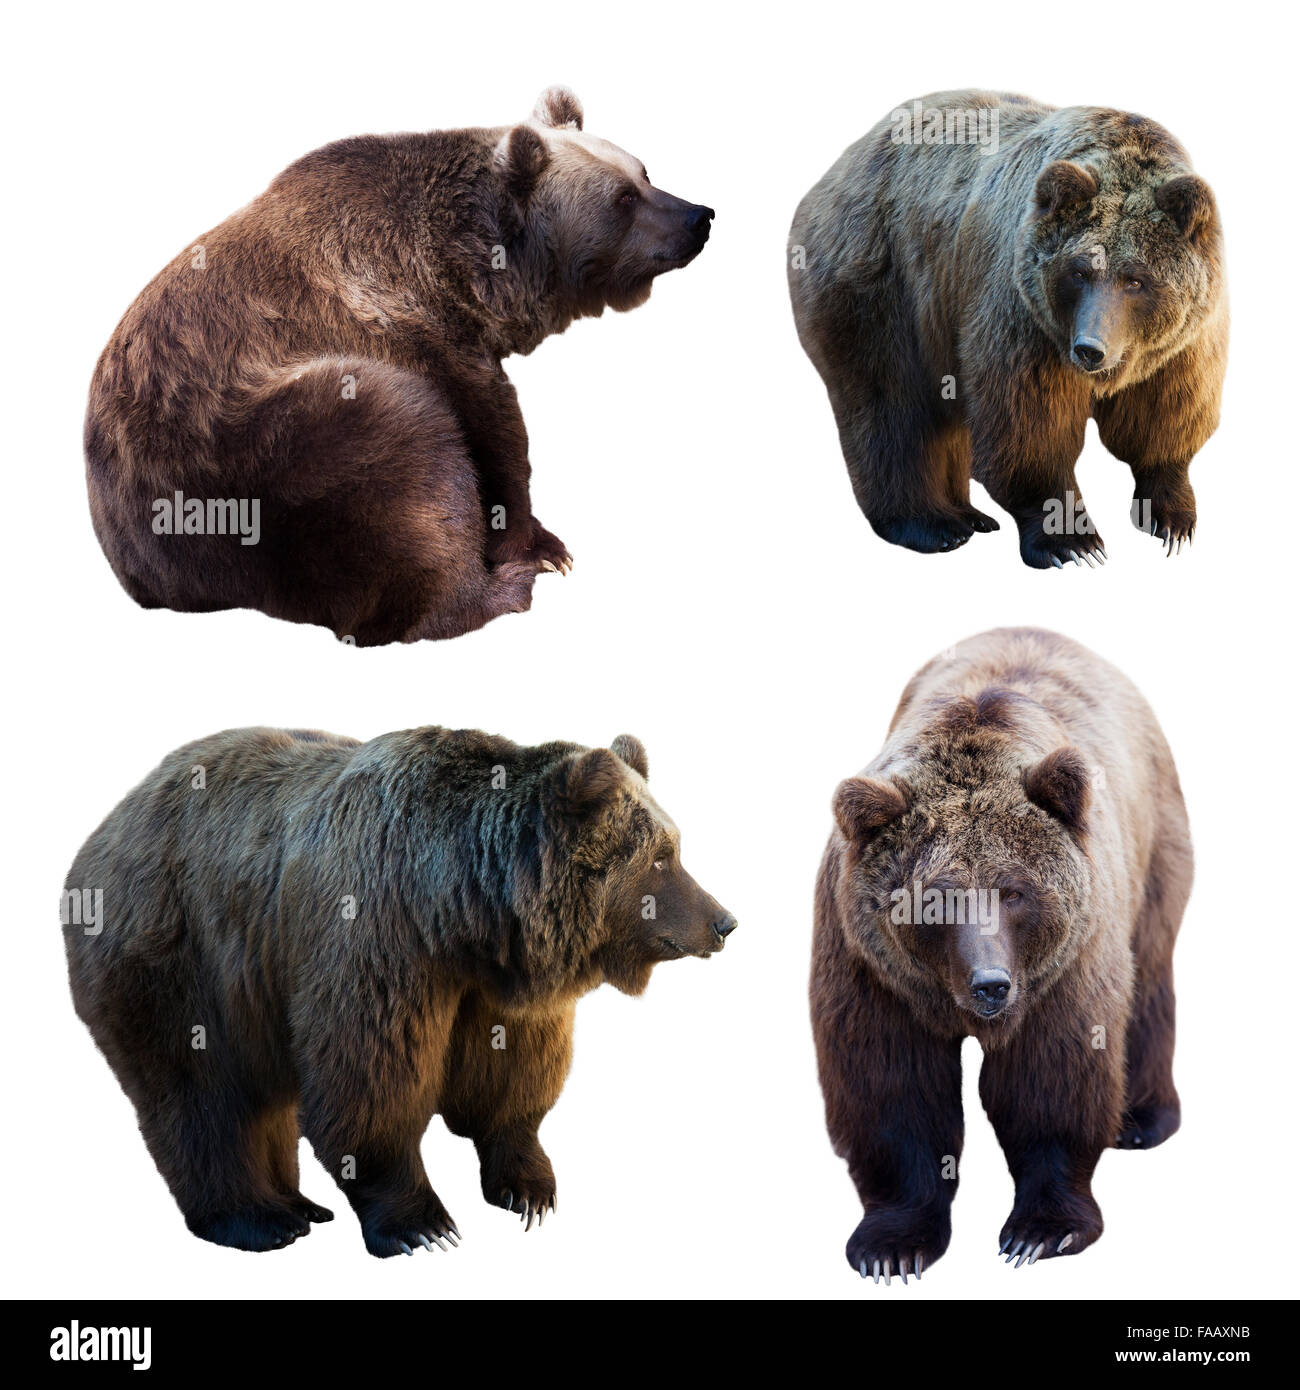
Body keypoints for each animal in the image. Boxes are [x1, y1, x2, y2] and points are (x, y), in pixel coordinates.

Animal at [62, 725, 736, 1256]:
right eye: (661, 858)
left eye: (676, 847)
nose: (724, 921)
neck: (462, 911)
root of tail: (101, 832)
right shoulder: (378, 938)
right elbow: (371, 1080)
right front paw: (422, 1224)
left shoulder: (494, 988)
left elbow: (509, 1075)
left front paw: (528, 1189)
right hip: (176, 954)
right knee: (199, 1094)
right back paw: (261, 1219)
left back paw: (300, 1205)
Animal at [84, 88, 714, 644]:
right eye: (622, 198)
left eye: (645, 170)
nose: (699, 216)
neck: (473, 268)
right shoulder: (416, 327)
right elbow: (492, 430)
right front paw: (539, 545)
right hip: (255, 446)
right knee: (405, 457)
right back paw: (502, 590)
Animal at [788, 90, 1227, 568]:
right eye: (1079, 271)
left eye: (1136, 279)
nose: (1090, 349)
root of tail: (836, 169)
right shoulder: (1026, 318)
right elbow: (1028, 427)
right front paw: (1072, 541)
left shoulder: (1179, 344)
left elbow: (1164, 416)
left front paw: (1171, 520)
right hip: (882, 283)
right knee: (891, 403)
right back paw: (934, 526)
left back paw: (970, 515)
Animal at [811, 627, 1191, 1281]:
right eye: (936, 898)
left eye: (1014, 891)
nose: (991, 984)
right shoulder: (871, 968)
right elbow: (891, 1085)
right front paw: (892, 1246)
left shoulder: (1064, 967)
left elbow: (1052, 1075)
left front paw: (1040, 1232)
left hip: (1152, 849)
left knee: (1148, 977)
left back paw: (1143, 1120)